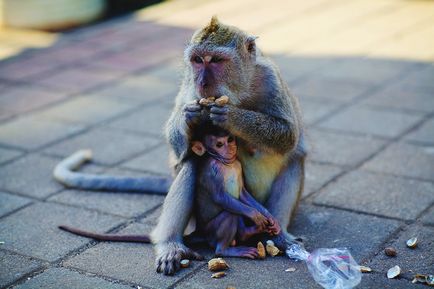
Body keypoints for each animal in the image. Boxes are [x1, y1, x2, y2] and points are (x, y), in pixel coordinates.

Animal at [192, 122, 280, 258]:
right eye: (219, 144)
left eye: (230, 139)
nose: (230, 148)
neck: (226, 163)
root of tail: (202, 234)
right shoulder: (212, 171)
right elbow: (220, 197)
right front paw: (255, 215)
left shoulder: (238, 166)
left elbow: (242, 193)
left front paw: (269, 216)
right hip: (210, 231)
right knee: (230, 214)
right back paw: (225, 250)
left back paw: (246, 233)